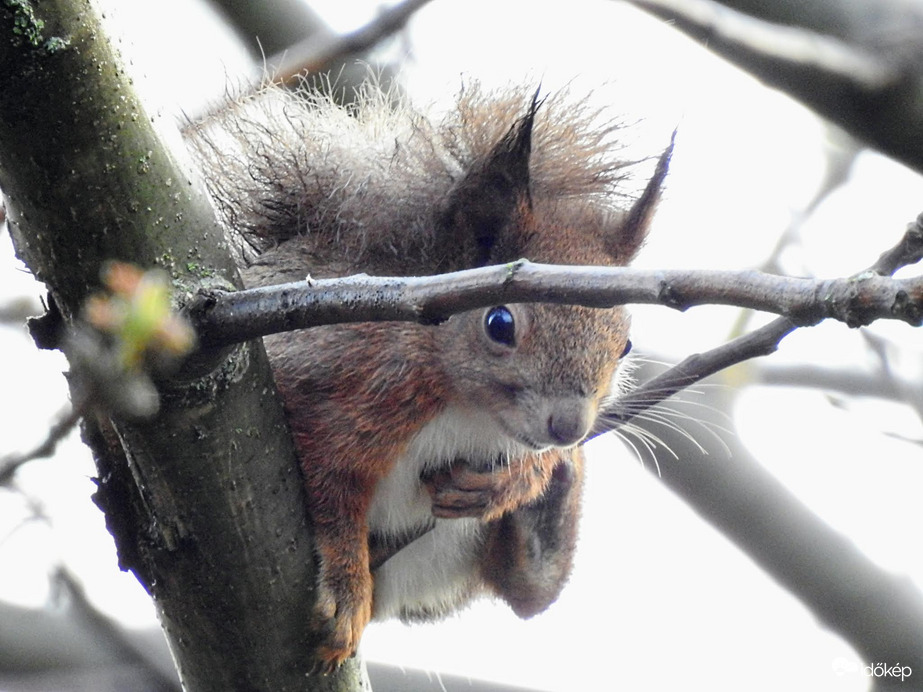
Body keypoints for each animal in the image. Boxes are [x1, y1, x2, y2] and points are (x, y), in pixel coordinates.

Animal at [189, 79, 672, 672]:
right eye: (499, 323)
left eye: (625, 344)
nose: (569, 427)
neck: (469, 407)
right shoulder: (336, 388)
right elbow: (331, 495)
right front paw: (345, 588)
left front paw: (514, 481)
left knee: (528, 592)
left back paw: (552, 507)